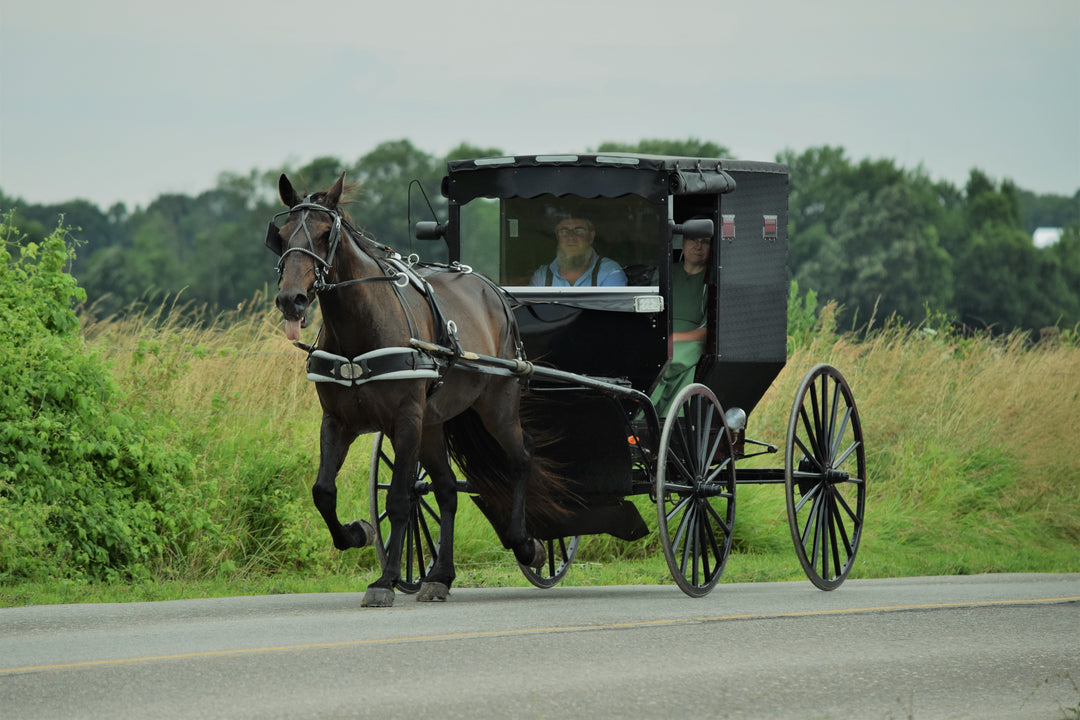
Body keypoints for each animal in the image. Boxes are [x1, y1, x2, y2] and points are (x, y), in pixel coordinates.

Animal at [266, 171, 565, 604]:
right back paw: (440, 575)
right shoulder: (337, 421)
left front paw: (384, 580)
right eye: (282, 235)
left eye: (324, 234)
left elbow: (399, 498)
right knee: (446, 489)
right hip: (434, 424)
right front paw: (357, 533)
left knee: (521, 460)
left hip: (496, 404)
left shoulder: (405, 419)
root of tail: (492, 290)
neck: (361, 328)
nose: (291, 299)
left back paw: (526, 545)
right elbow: (324, 491)